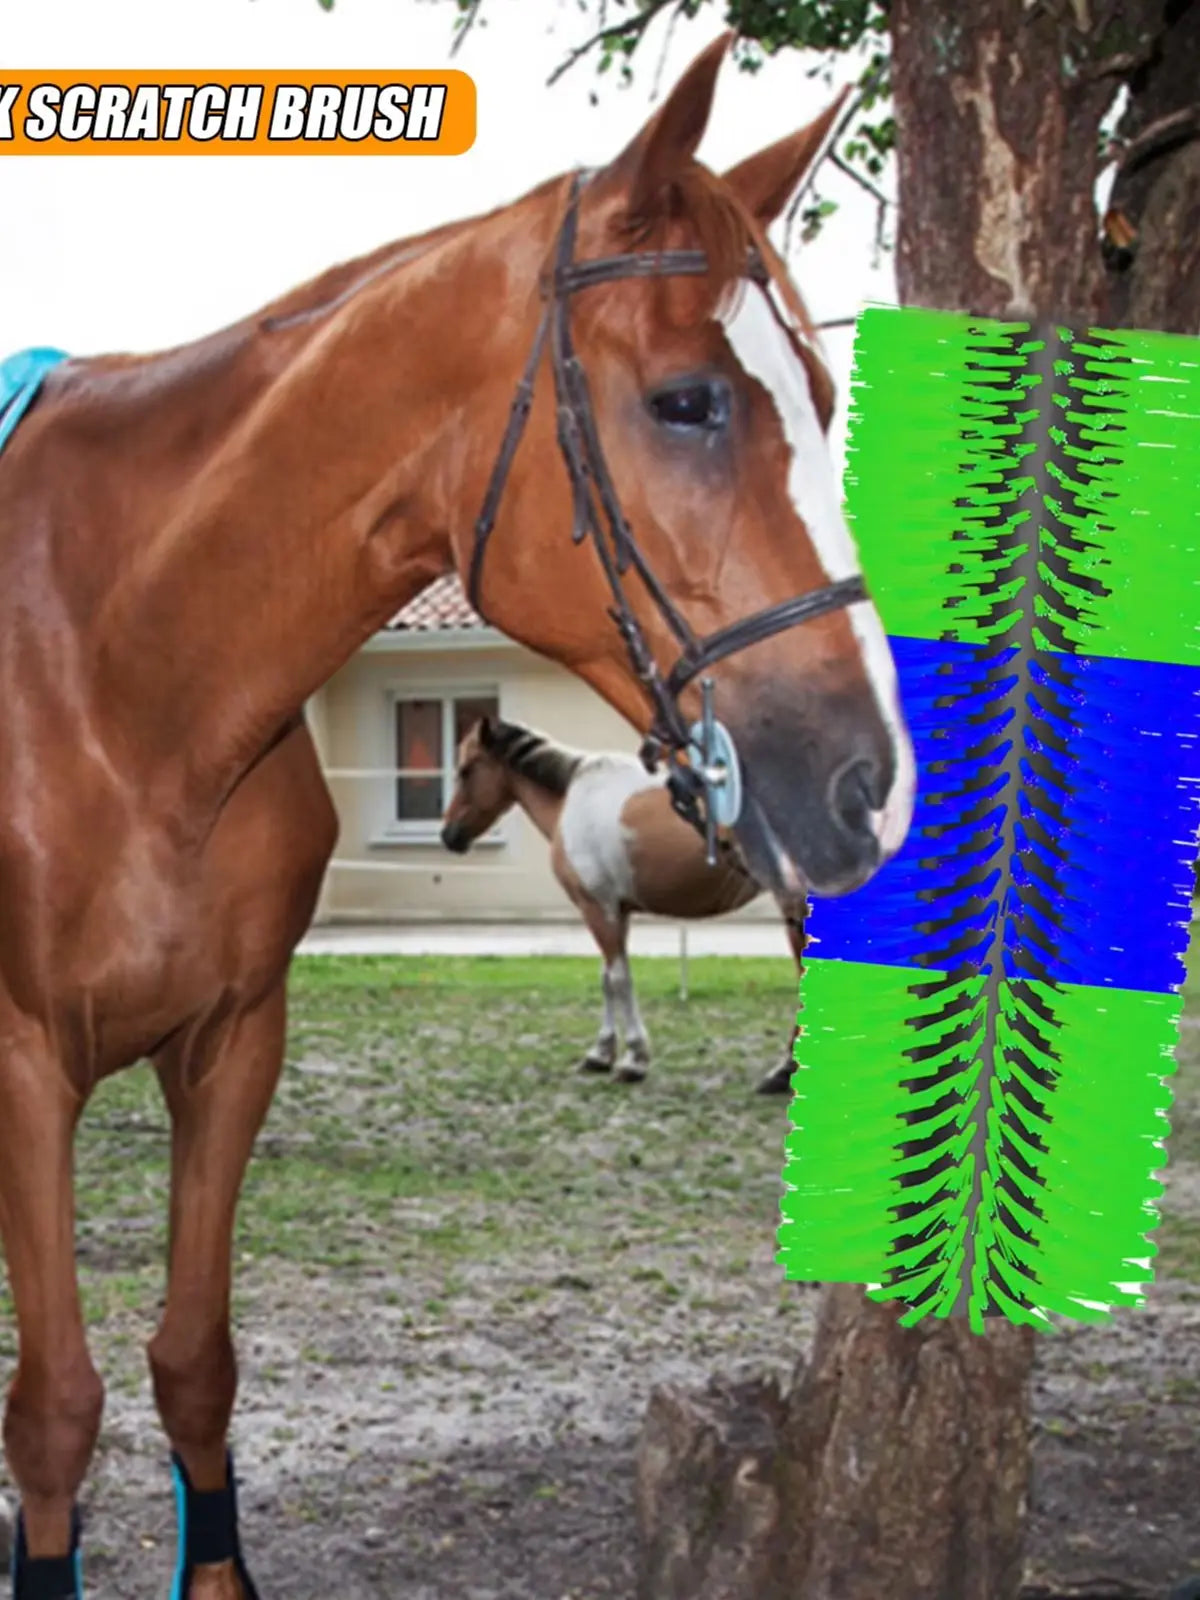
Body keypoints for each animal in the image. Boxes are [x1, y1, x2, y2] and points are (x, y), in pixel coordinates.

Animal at [441, 713, 808, 1094]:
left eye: (466, 770)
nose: (449, 835)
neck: (572, 798)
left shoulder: (596, 908)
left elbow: (619, 978)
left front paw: (633, 1060)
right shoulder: (616, 911)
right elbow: (606, 977)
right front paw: (600, 1053)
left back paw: (783, 1070)